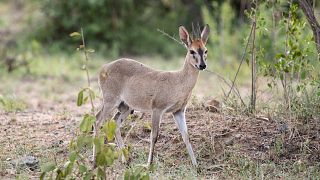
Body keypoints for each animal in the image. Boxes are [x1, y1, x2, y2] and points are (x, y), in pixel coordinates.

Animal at [94, 24, 210, 167]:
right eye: (191, 51)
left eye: (205, 50)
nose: (202, 65)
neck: (178, 81)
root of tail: (104, 68)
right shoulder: (157, 109)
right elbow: (154, 136)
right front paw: (149, 164)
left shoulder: (178, 111)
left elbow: (186, 136)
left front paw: (195, 165)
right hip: (110, 101)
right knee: (97, 120)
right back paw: (94, 160)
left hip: (125, 107)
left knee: (115, 123)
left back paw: (126, 160)